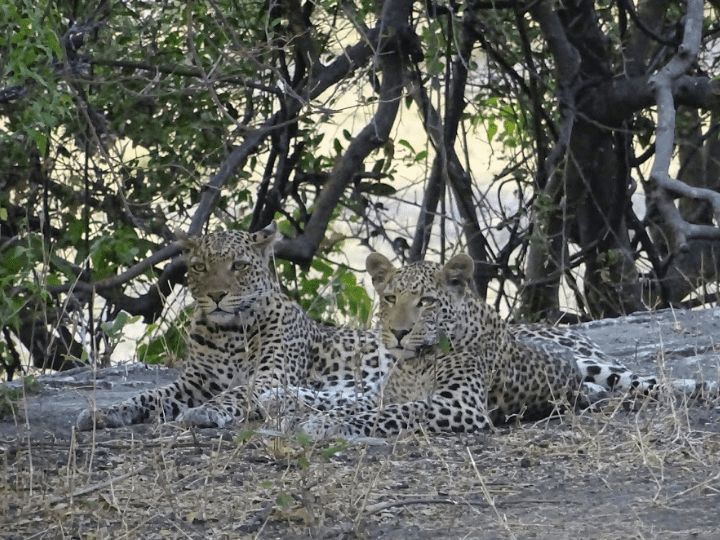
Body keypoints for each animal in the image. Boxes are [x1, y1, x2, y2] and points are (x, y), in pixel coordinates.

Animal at [76, 223, 395, 431]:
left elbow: (235, 393)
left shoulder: (269, 376)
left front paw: (204, 411)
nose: (217, 295)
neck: (226, 333)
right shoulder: (195, 381)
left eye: (239, 266)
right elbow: (149, 395)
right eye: (200, 266)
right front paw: (105, 412)